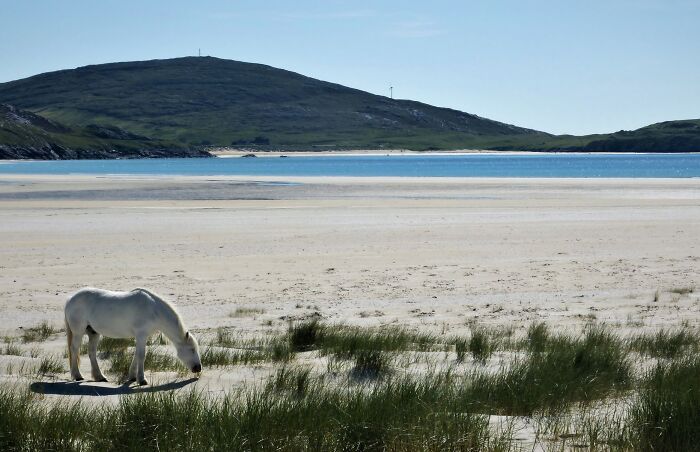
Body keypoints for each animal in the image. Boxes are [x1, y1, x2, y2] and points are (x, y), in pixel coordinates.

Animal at [64, 287, 202, 385]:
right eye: (192, 349)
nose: (198, 368)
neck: (153, 310)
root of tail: (70, 299)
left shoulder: (141, 337)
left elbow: (136, 355)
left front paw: (132, 376)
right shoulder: (141, 335)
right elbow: (141, 355)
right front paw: (142, 379)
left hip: (93, 333)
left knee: (91, 352)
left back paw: (100, 377)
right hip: (78, 332)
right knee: (74, 349)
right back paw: (77, 375)